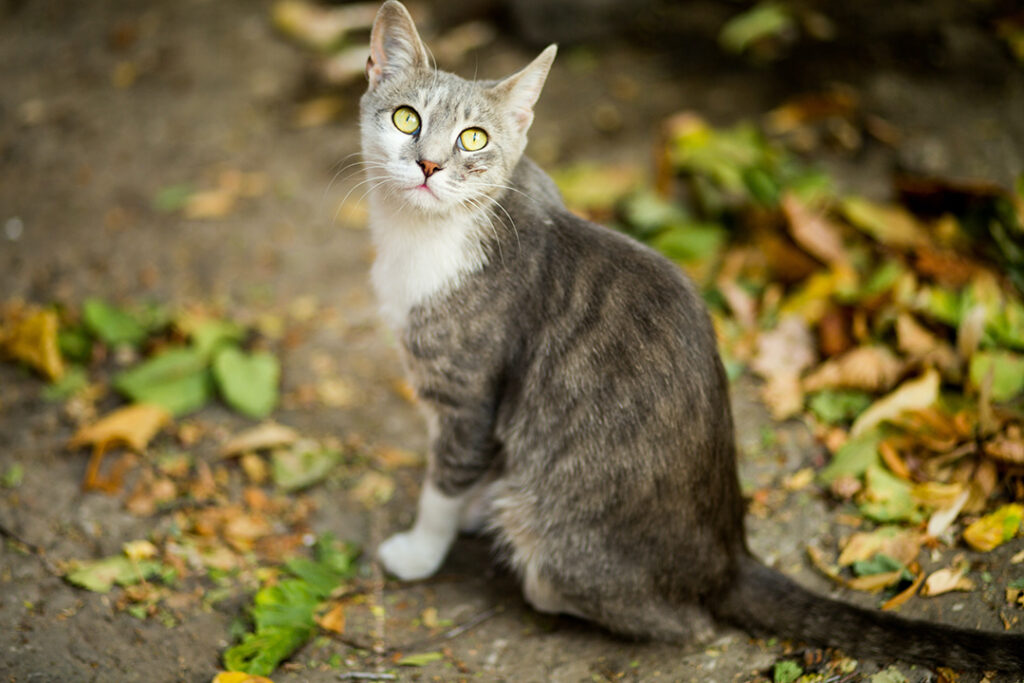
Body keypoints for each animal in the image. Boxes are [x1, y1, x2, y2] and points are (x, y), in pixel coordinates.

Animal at [358, 0, 1024, 671]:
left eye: (474, 138)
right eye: (407, 119)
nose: (429, 164)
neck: (425, 236)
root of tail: (728, 557)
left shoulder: (467, 389)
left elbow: (446, 476)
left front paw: (422, 547)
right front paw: (467, 505)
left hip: (558, 542)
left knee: (667, 618)